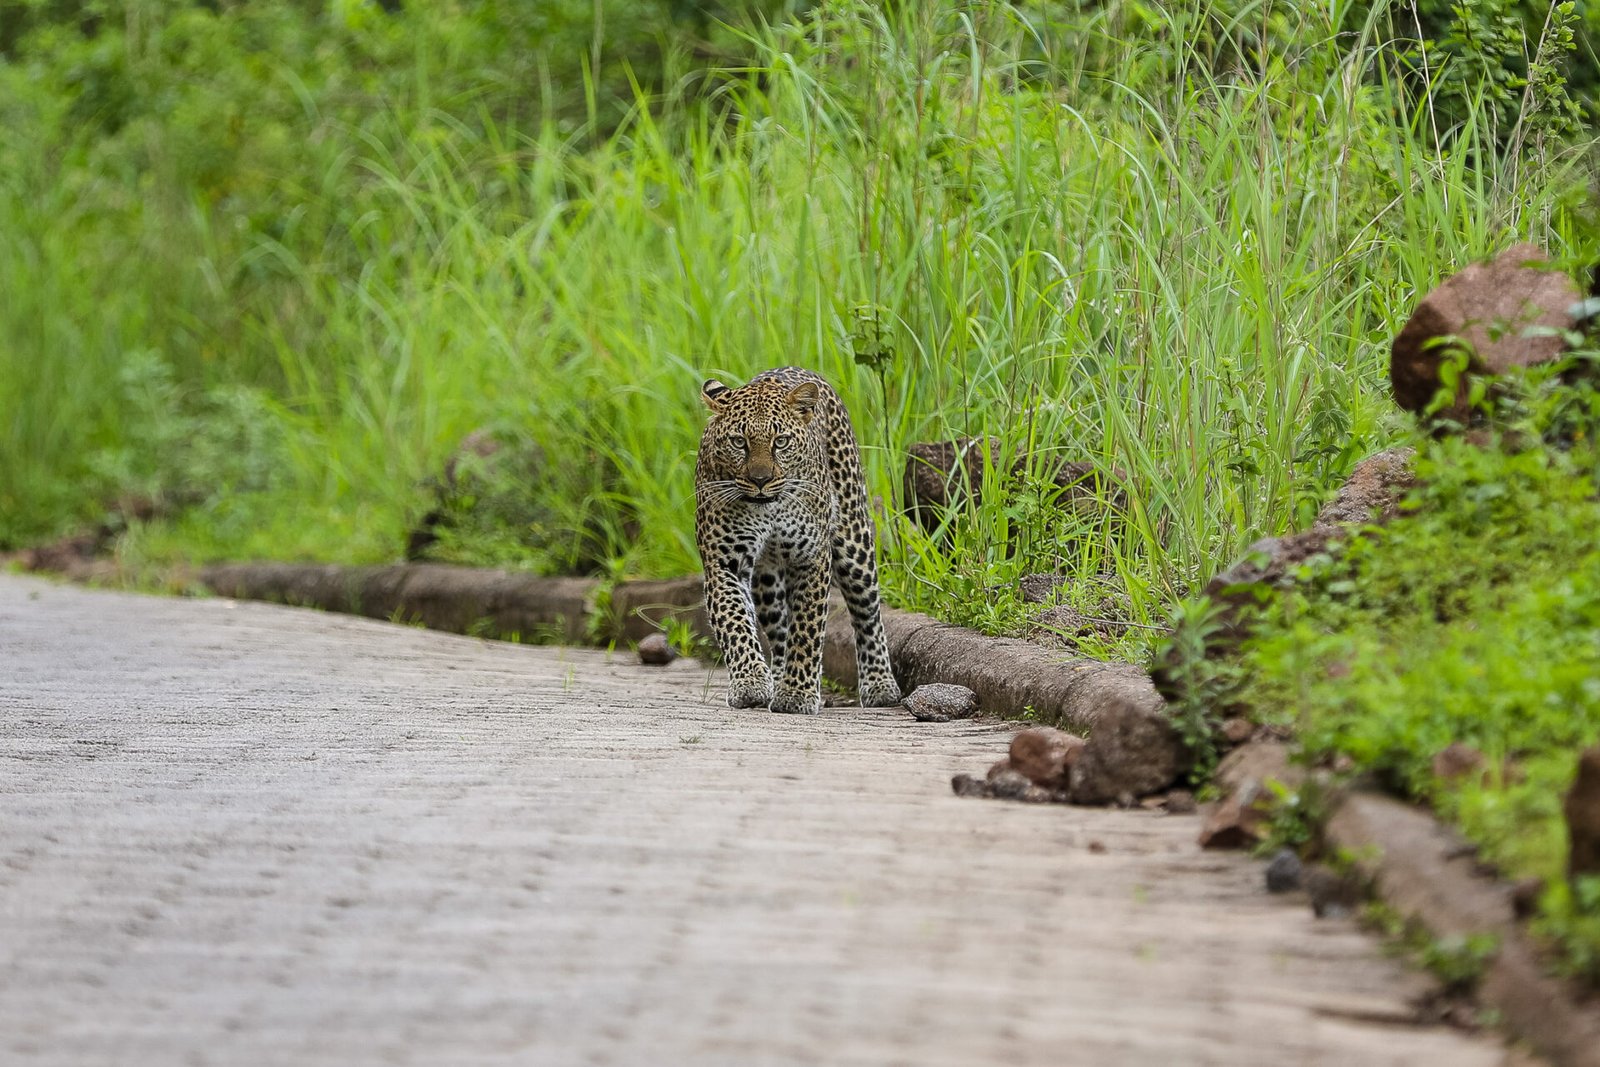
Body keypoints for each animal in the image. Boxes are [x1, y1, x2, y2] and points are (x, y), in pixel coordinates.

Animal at [695, 367, 902, 715]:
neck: (769, 509)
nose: (761, 480)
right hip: (766, 577)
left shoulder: (811, 558)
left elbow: (807, 627)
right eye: (739, 441)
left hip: (855, 542)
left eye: (781, 442)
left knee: (868, 614)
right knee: (778, 629)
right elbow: (735, 622)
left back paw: (880, 685)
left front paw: (797, 693)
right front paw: (751, 683)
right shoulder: (724, 563)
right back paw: (776, 678)